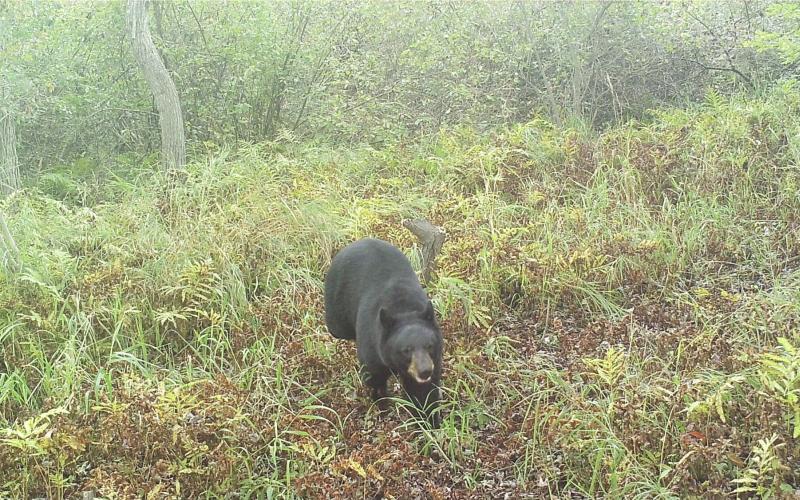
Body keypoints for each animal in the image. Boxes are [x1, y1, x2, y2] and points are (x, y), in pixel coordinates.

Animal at [324, 238, 443, 428]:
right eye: (406, 349)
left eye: (430, 345)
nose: (425, 371)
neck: (403, 308)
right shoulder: (372, 347)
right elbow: (374, 379)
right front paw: (382, 406)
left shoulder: (434, 360)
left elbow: (423, 393)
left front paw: (430, 423)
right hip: (336, 307)